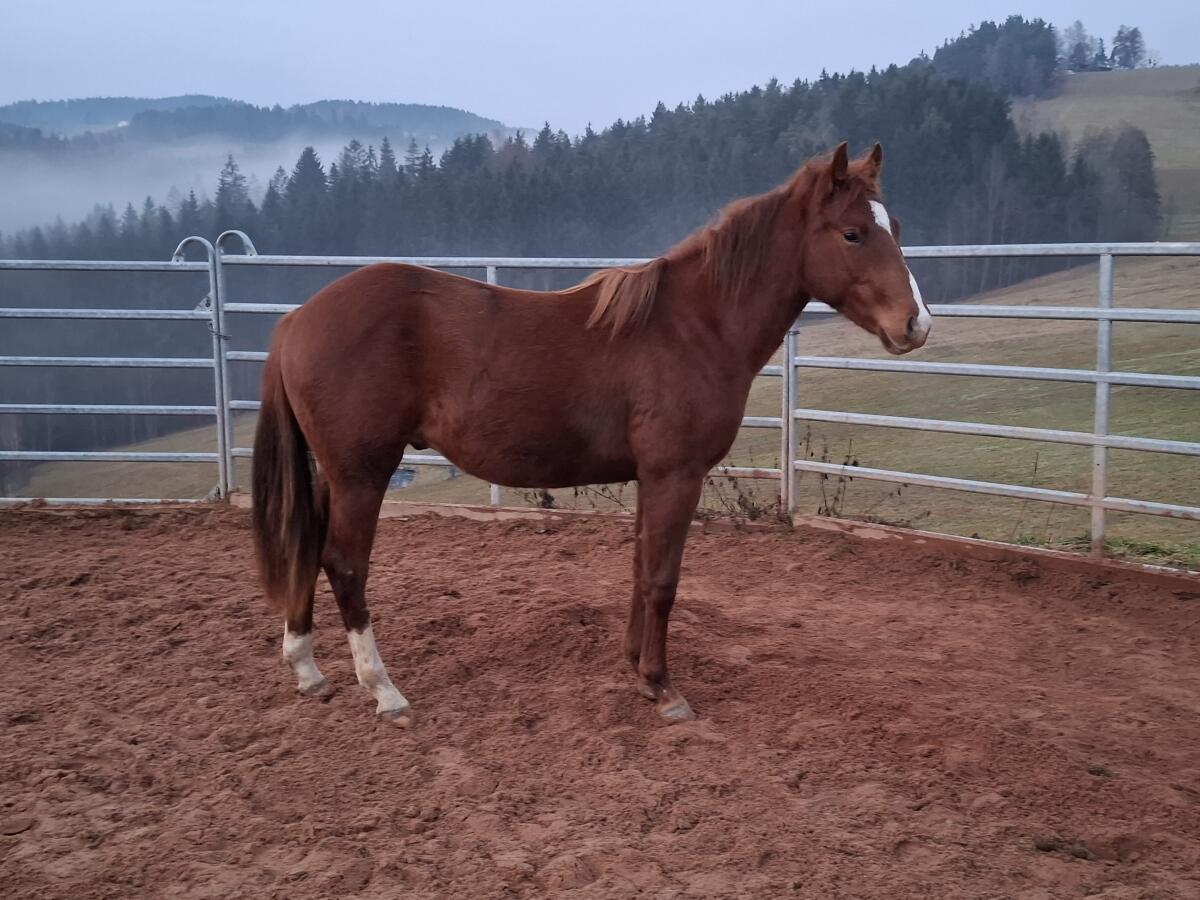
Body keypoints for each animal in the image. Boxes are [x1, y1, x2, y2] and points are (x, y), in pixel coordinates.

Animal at [251, 141, 932, 726]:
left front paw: (637, 670)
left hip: (333, 473)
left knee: (307, 547)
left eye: (894, 226)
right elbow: (662, 580)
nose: (916, 324)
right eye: (852, 232)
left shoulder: (651, 478)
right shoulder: (675, 476)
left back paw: (308, 671)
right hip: (362, 473)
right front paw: (663, 688)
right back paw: (384, 691)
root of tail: (297, 320)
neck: (692, 326)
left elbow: (639, 569)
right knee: (345, 565)